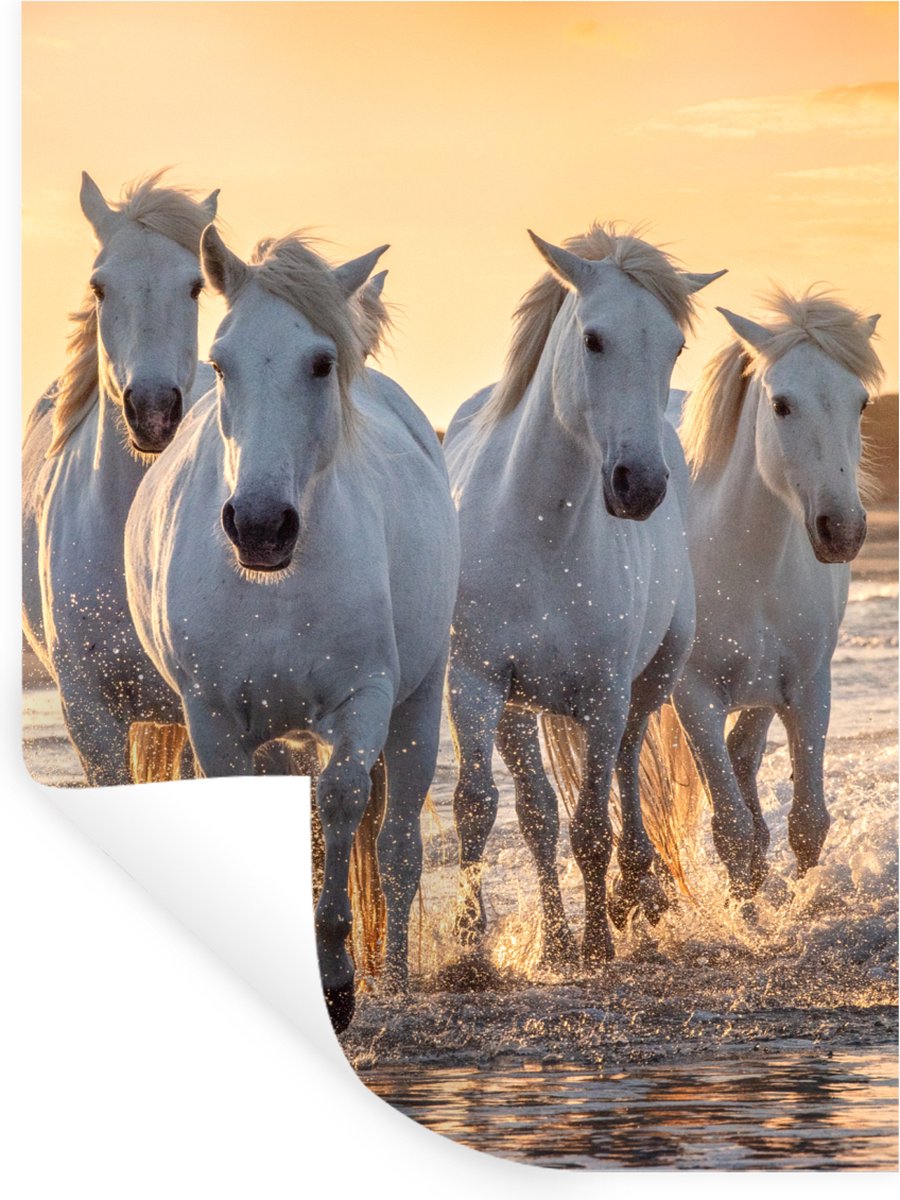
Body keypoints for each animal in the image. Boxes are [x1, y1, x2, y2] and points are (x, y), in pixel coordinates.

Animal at [124, 228, 459, 1032]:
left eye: (320, 362)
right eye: (221, 362)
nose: (259, 526)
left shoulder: (364, 700)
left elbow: (340, 804)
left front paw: (336, 981)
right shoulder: (212, 716)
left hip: (419, 704)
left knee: (397, 849)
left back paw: (396, 976)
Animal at [443, 222, 725, 967]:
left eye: (674, 345)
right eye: (594, 339)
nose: (640, 486)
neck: (540, 531)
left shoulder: (603, 693)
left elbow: (595, 822)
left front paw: (600, 939)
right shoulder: (475, 681)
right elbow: (480, 807)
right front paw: (471, 951)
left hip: (649, 682)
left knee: (625, 774)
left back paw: (634, 893)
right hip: (518, 707)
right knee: (538, 812)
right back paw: (558, 938)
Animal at [655, 289, 883, 898]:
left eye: (861, 404)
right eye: (781, 405)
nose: (842, 530)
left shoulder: (807, 687)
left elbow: (807, 821)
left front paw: (798, 905)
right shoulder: (695, 698)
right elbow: (731, 831)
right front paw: (750, 915)